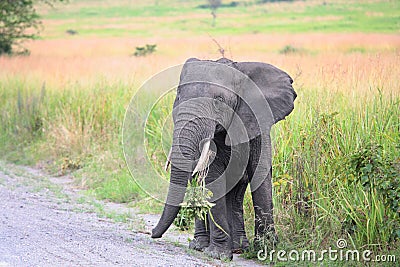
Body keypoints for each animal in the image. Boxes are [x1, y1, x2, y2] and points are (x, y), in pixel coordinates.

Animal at [152, 58, 296, 262]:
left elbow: (261, 175)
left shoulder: (258, 124)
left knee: (235, 193)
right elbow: (214, 177)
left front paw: (267, 249)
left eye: (219, 100)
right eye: (178, 97)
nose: (152, 233)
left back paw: (239, 248)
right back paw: (200, 246)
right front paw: (219, 254)